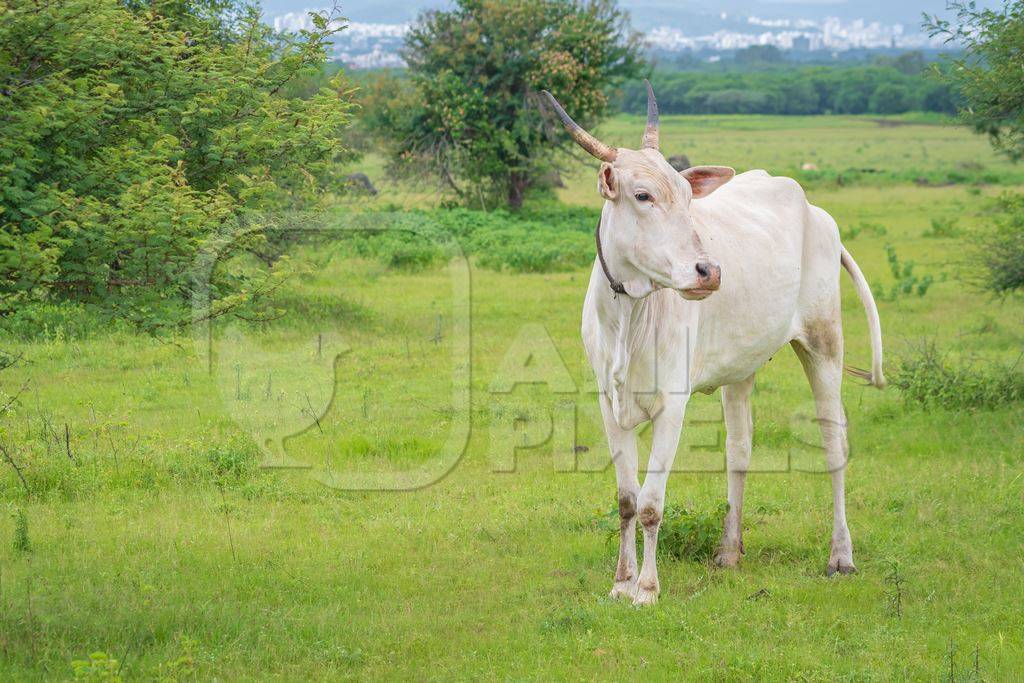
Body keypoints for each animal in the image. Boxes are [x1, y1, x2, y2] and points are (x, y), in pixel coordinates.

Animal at [540, 82, 884, 606]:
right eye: (642, 195)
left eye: (686, 196)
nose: (709, 271)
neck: (629, 316)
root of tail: (817, 214)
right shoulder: (607, 401)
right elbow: (625, 500)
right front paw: (620, 582)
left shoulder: (673, 404)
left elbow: (651, 504)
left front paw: (647, 588)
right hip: (742, 367)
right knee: (739, 449)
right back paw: (728, 550)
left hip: (824, 343)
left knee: (834, 444)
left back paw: (841, 556)